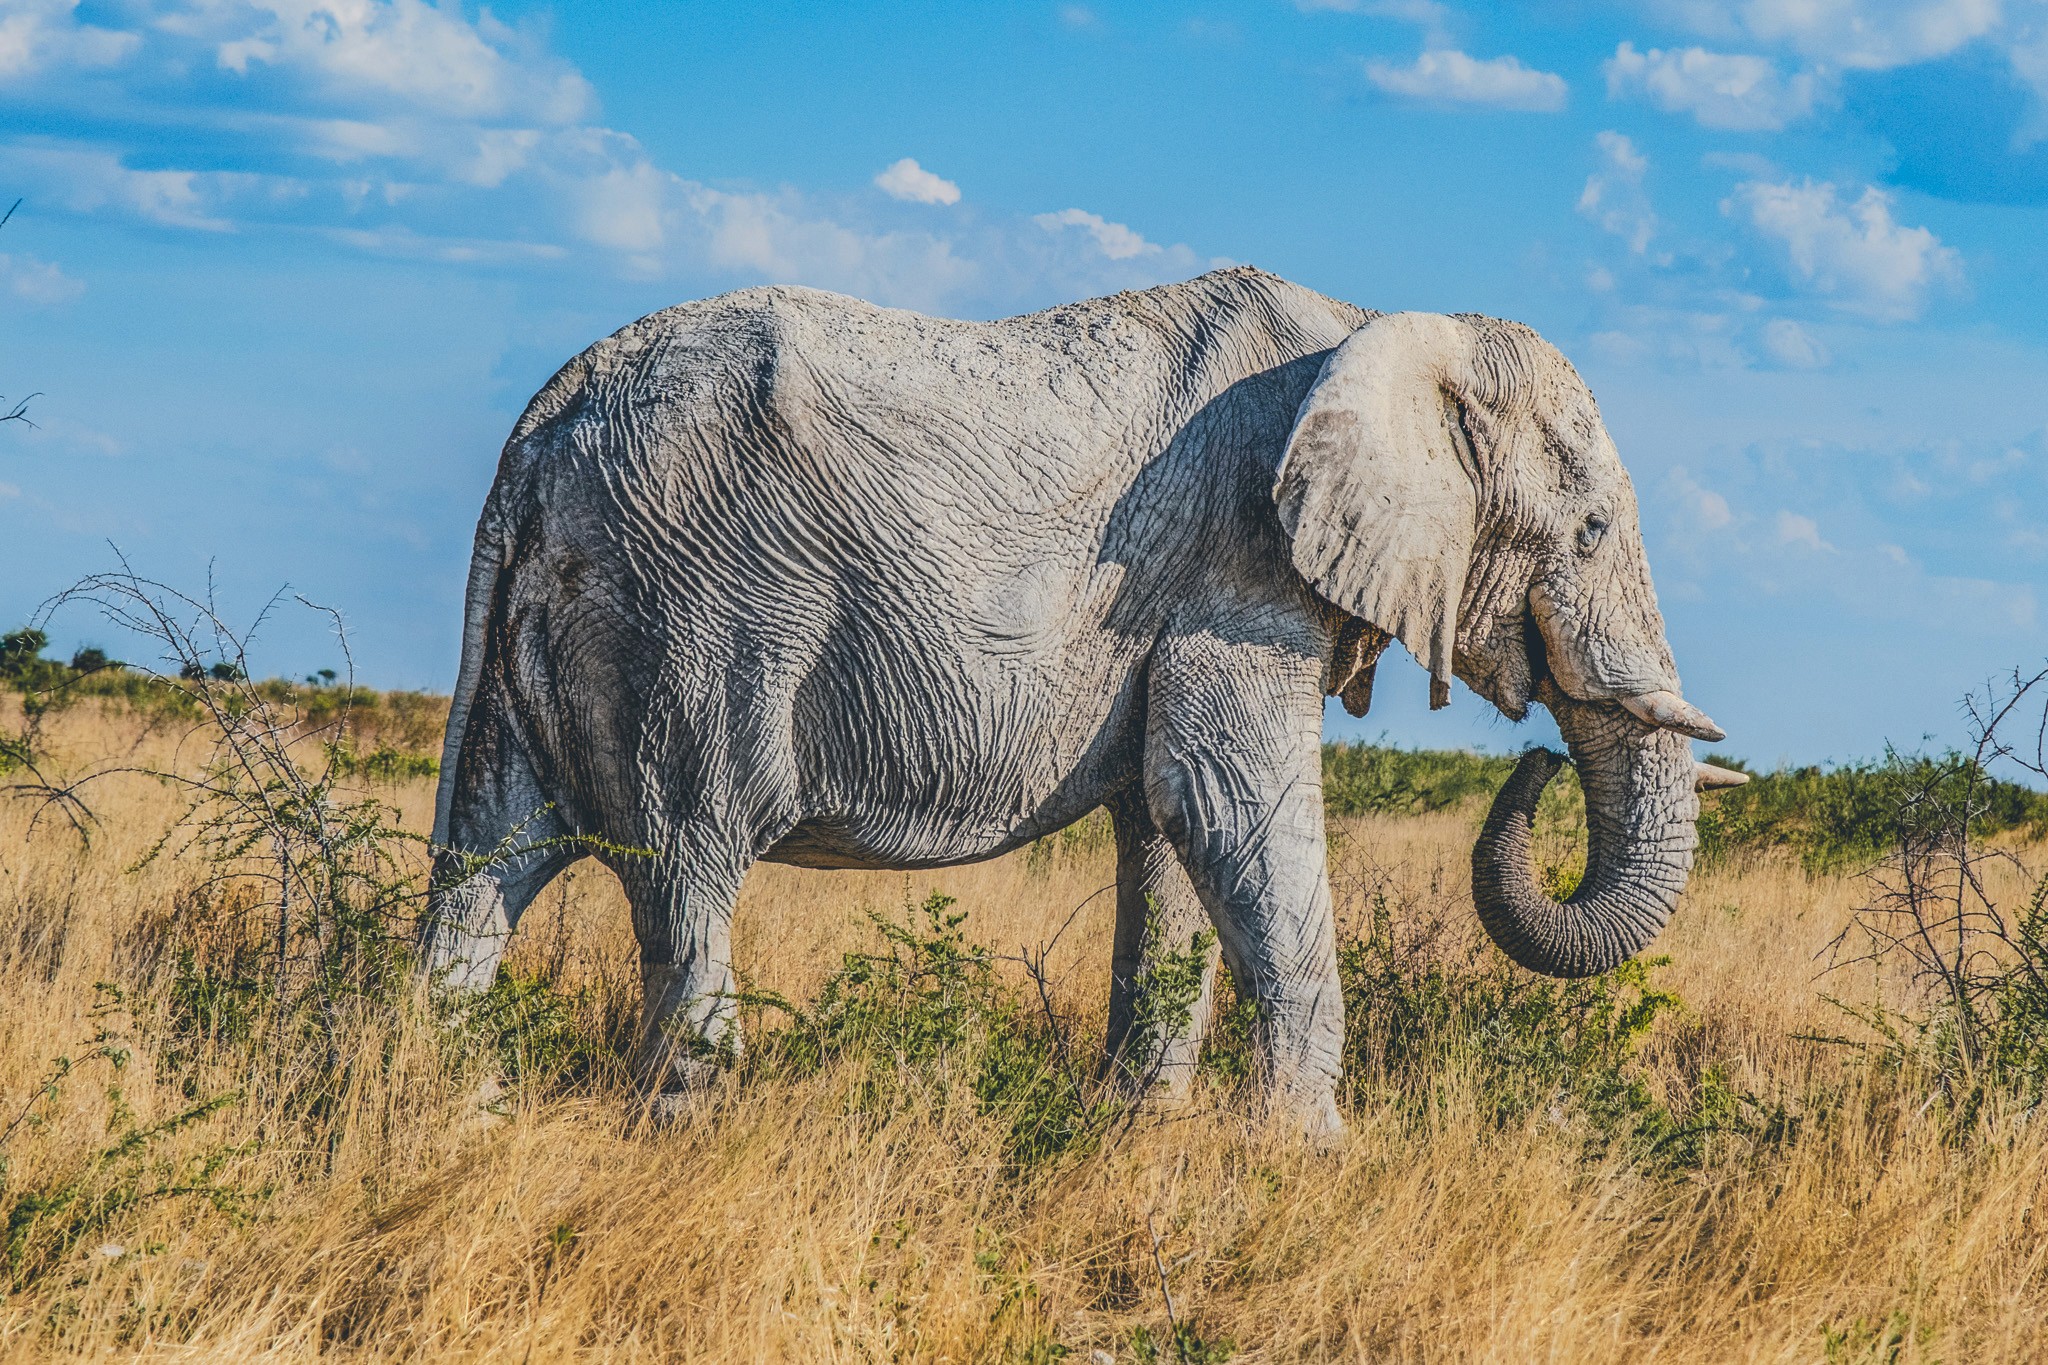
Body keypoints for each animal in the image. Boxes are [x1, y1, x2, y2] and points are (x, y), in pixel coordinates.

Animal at [421, 266, 1741, 1132]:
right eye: (1588, 530)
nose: (1540, 761)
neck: (1382, 327)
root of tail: (541, 424)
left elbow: (1170, 831)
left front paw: (1140, 1133)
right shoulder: (1237, 568)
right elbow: (1223, 805)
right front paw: (1304, 1157)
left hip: (559, 617)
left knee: (489, 857)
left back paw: (450, 1105)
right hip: (685, 616)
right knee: (687, 861)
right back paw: (692, 1134)